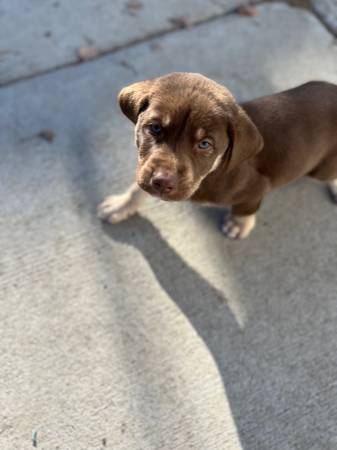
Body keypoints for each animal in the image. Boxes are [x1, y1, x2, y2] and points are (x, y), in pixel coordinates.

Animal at [96, 73, 336, 239]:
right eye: (155, 128)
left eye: (205, 144)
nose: (162, 183)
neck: (212, 172)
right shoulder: (146, 168)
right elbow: (138, 188)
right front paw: (121, 205)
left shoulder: (256, 185)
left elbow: (246, 207)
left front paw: (239, 225)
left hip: (320, 169)